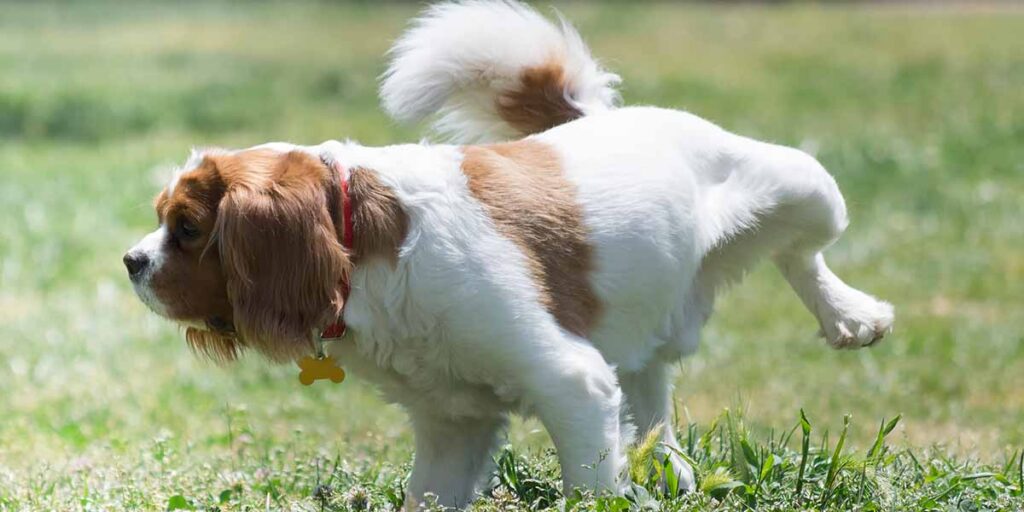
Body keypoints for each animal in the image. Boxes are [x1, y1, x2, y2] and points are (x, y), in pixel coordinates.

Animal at [123, 2, 892, 507]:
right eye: (163, 222)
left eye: (186, 228)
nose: (131, 261)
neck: (365, 253)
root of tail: (602, 118)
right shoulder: (451, 427)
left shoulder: (571, 383)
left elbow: (589, 486)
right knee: (652, 393)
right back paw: (670, 471)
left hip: (804, 185)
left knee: (803, 251)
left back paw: (851, 316)